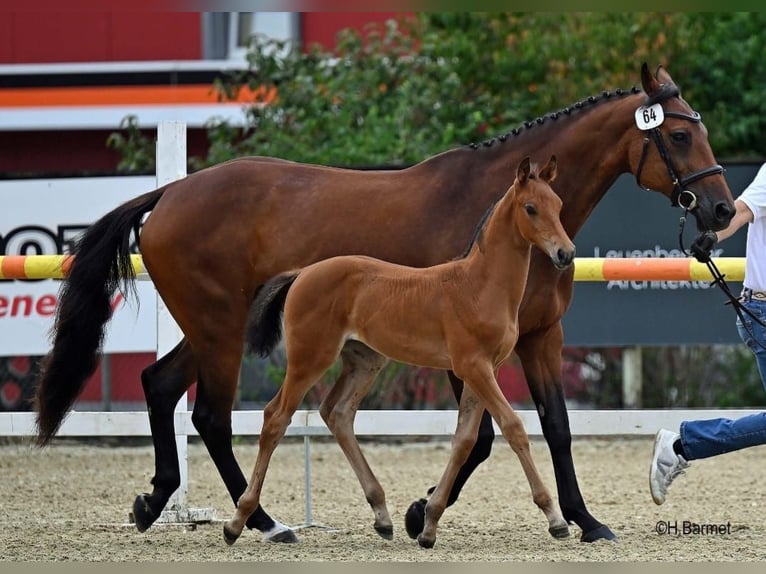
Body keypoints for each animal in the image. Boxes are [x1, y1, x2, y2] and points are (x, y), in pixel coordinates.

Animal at [222, 155, 575, 548]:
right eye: (530, 208)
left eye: (558, 205)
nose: (565, 254)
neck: (479, 286)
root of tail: (302, 273)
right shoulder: (473, 367)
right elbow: (513, 428)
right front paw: (555, 519)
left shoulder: (485, 370)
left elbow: (464, 439)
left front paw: (429, 524)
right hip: (309, 359)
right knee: (276, 417)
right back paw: (237, 522)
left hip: (365, 361)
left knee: (337, 413)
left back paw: (382, 516)